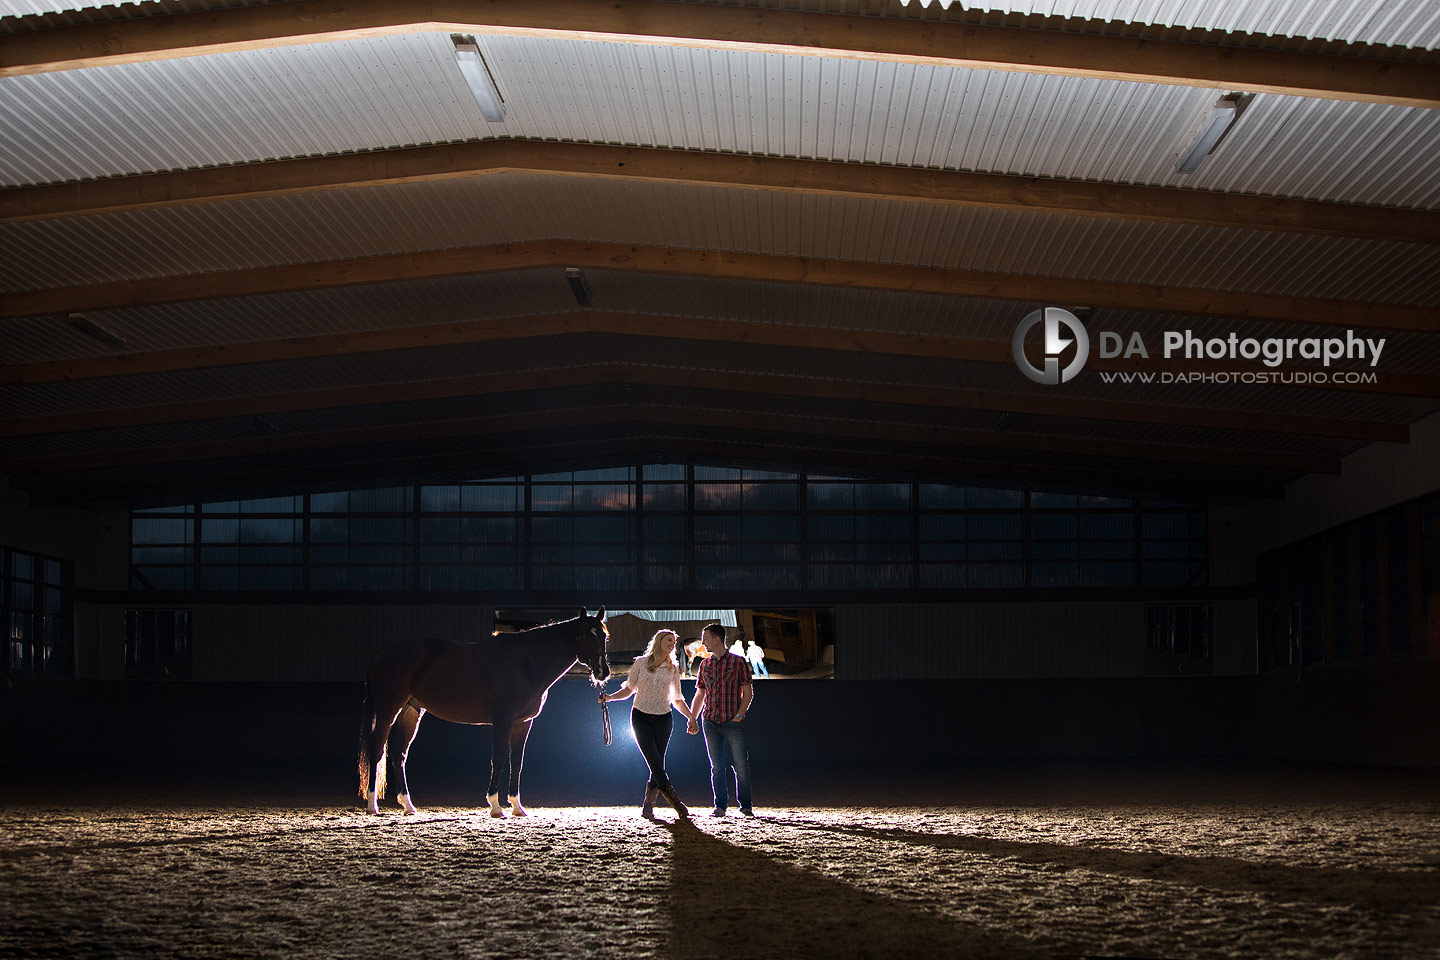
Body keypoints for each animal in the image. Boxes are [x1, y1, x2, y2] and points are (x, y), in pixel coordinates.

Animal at [360, 613, 613, 817]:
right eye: (585, 635)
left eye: (604, 636)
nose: (603, 672)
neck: (525, 663)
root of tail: (379, 653)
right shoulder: (502, 720)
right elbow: (498, 759)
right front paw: (495, 806)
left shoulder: (523, 723)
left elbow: (517, 762)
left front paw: (517, 807)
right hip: (387, 710)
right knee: (377, 750)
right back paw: (373, 805)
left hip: (410, 712)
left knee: (399, 754)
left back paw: (407, 805)